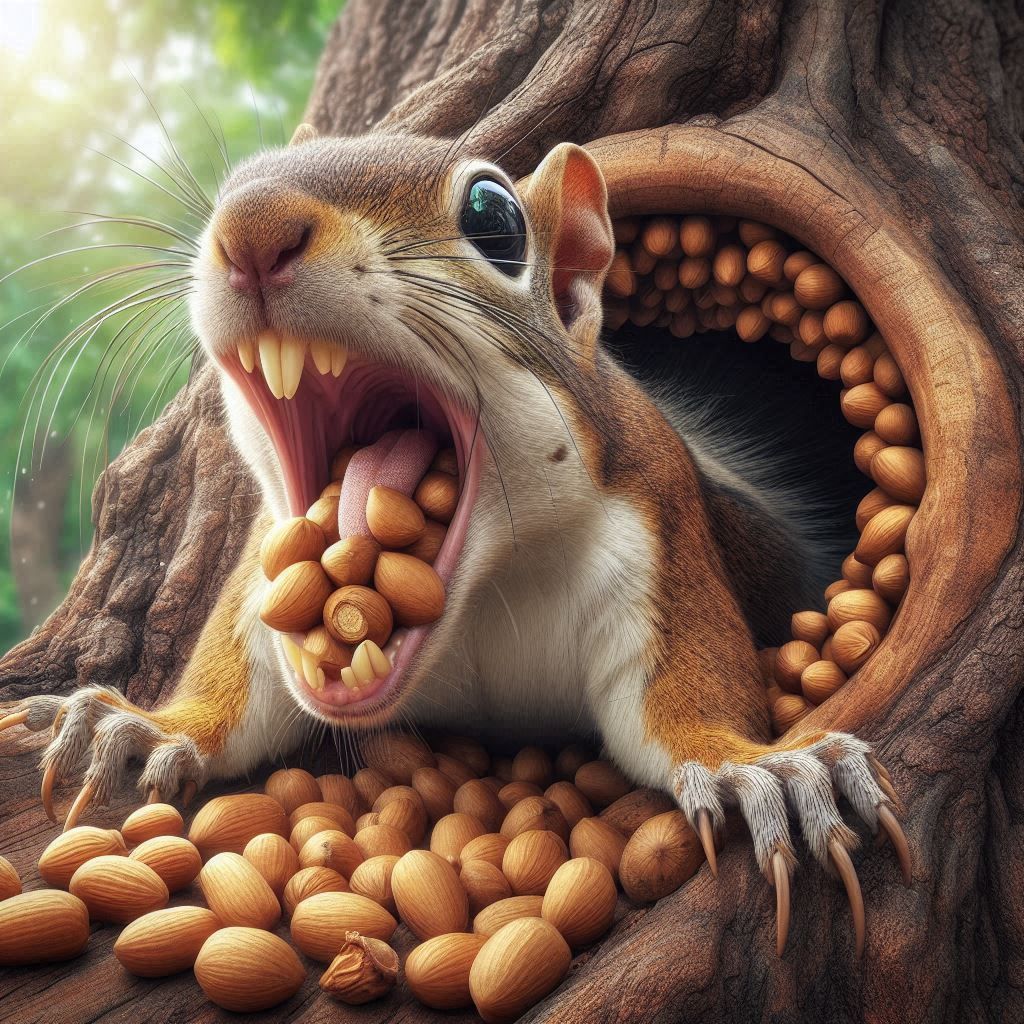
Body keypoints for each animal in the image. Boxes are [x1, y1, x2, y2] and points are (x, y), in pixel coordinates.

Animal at [0, 124, 909, 955]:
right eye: (237, 181)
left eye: (494, 217)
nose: (252, 229)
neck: (483, 585)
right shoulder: (265, 571)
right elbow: (236, 688)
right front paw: (139, 729)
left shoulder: (664, 530)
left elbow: (682, 694)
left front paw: (754, 768)